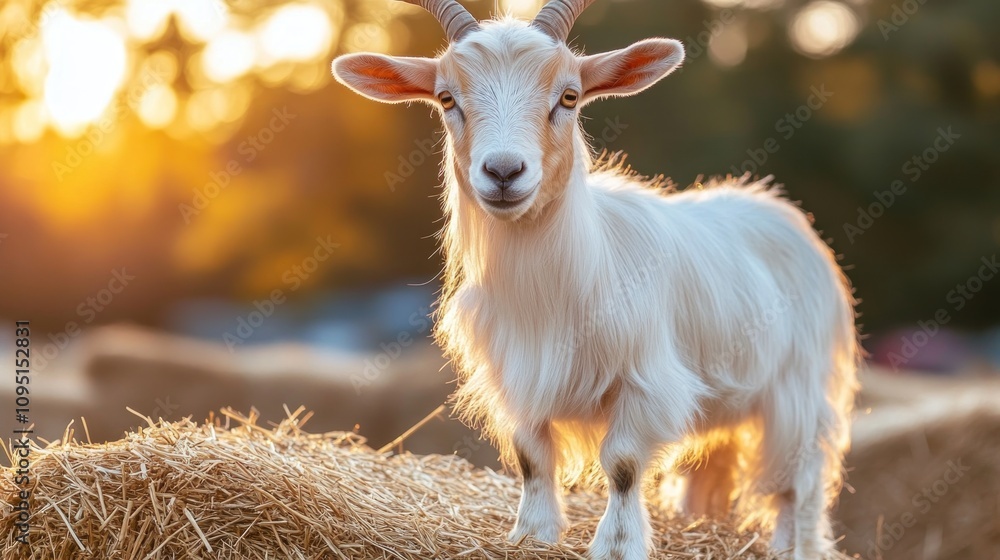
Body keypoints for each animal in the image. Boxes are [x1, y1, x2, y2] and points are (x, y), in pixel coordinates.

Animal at [333, 2, 859, 558]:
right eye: (447, 98)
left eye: (568, 96)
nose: (503, 172)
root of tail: (780, 209)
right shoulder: (521, 379)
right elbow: (532, 457)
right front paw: (531, 533)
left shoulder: (646, 380)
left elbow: (622, 463)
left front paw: (618, 544)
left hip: (798, 388)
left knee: (799, 480)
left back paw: (795, 545)